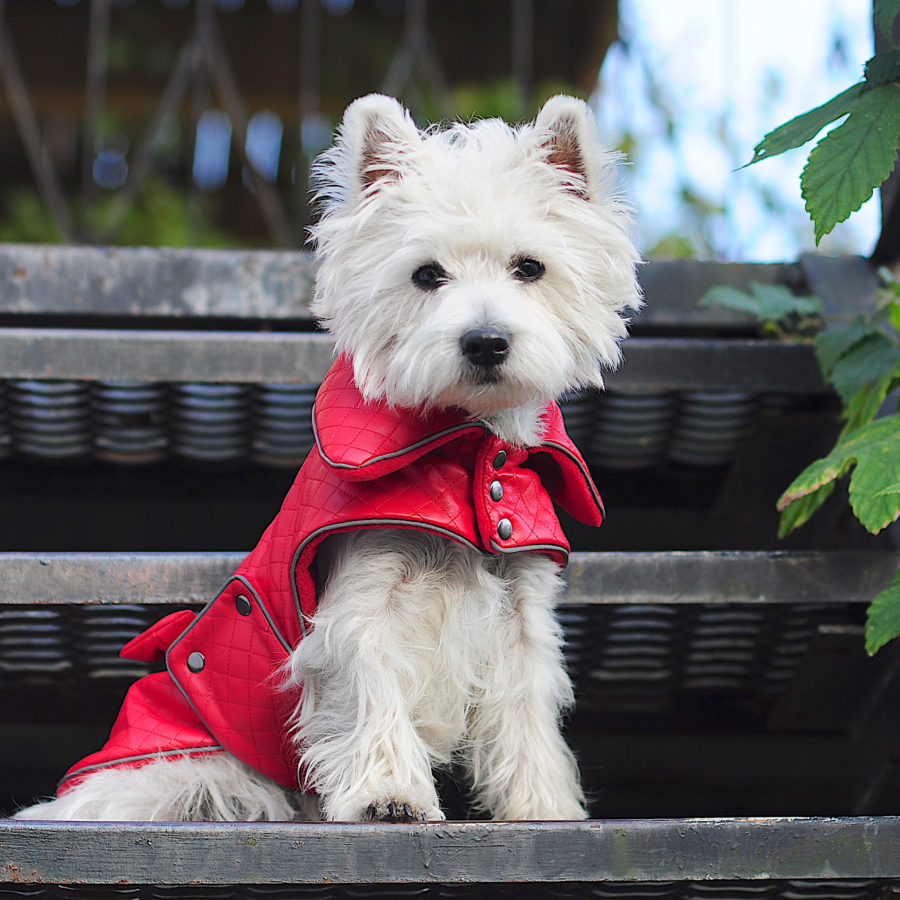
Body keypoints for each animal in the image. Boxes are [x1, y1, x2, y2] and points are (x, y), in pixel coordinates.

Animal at [17, 93, 644, 824]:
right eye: (426, 274)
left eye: (530, 267)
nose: (485, 341)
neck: (465, 445)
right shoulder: (365, 601)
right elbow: (373, 693)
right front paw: (389, 795)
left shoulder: (520, 617)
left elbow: (526, 717)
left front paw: (542, 804)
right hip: (172, 771)